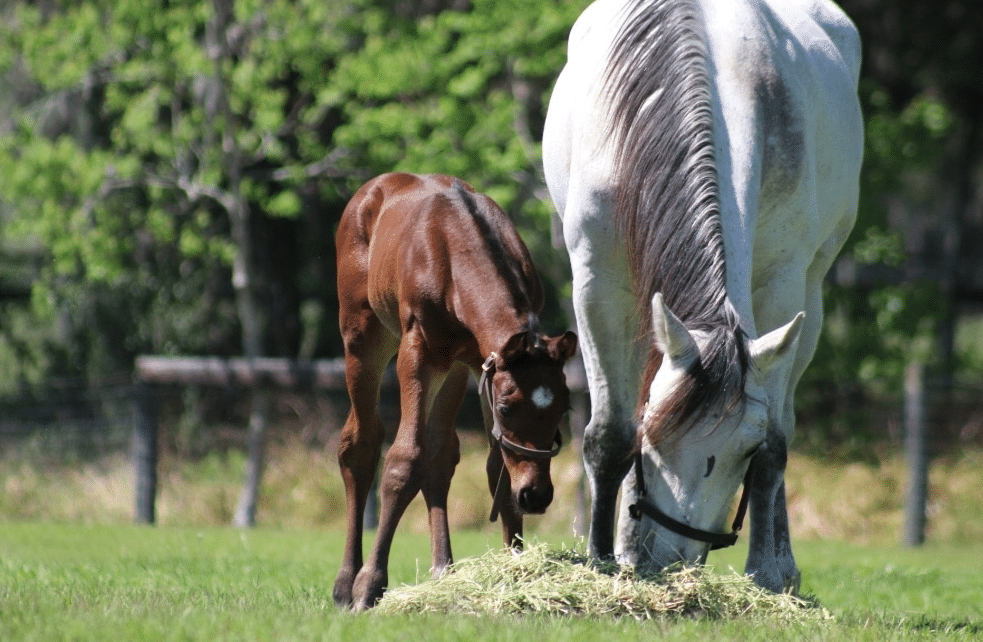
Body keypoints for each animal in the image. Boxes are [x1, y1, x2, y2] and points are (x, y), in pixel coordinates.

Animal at [332, 172, 576, 608]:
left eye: (562, 409)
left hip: (453, 371)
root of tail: (376, 186)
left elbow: (496, 468)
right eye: (508, 409)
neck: (457, 256)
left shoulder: (480, 363)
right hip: (363, 337)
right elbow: (402, 461)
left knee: (440, 454)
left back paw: (442, 569)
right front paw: (370, 584)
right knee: (360, 445)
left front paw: (514, 571)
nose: (536, 495)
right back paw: (346, 582)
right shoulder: (417, 353)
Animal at [544, 0, 860, 592]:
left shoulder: (783, 285)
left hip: (810, 298)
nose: (670, 561)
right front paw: (600, 561)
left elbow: (777, 440)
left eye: (743, 450)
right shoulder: (597, 281)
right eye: (654, 438)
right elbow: (610, 433)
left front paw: (767, 574)